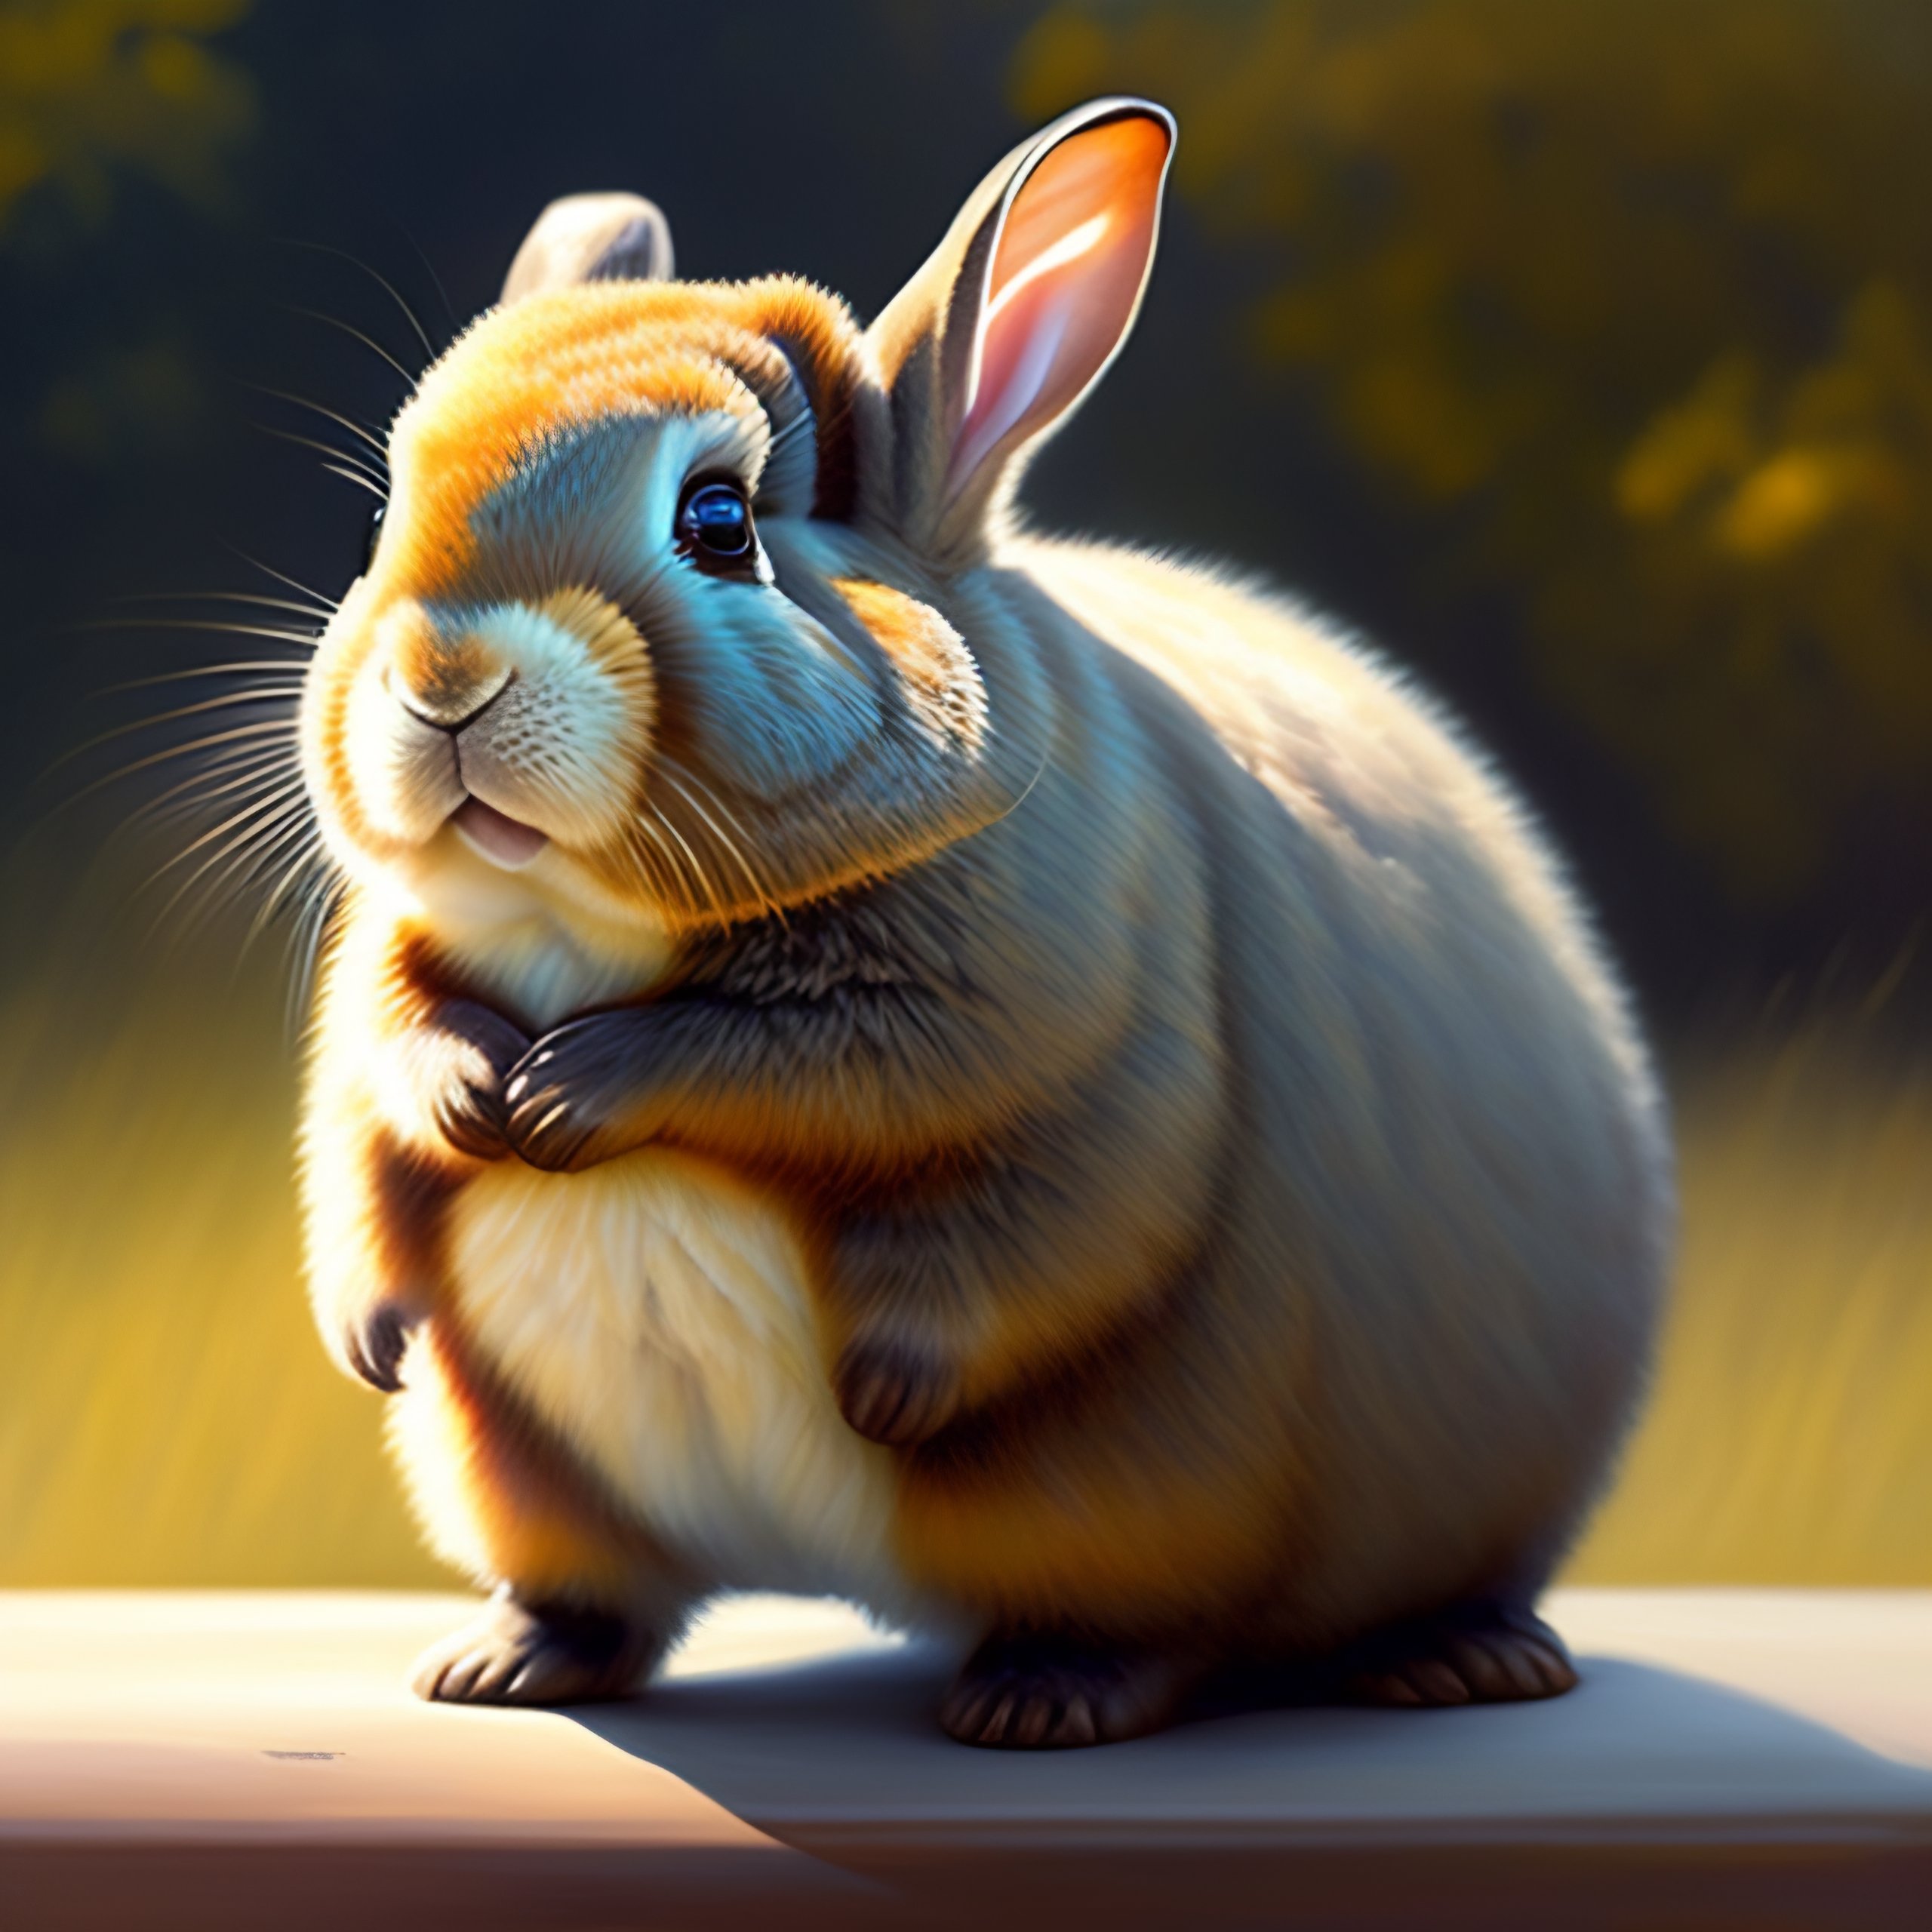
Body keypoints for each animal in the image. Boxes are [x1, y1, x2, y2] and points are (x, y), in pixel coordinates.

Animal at [295, 97, 1671, 1748]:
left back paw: (1152, 1685)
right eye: (380, 514)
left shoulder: (1041, 1034)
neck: (590, 928)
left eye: (717, 519)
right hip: (528, 1477)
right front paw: (416, 1233)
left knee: (1180, 1624)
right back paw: (505, 1663)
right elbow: (375, 1113)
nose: (442, 681)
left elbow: (804, 1079)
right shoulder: (369, 999)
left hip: (1148, 1485)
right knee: (599, 1592)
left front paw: (573, 1101)